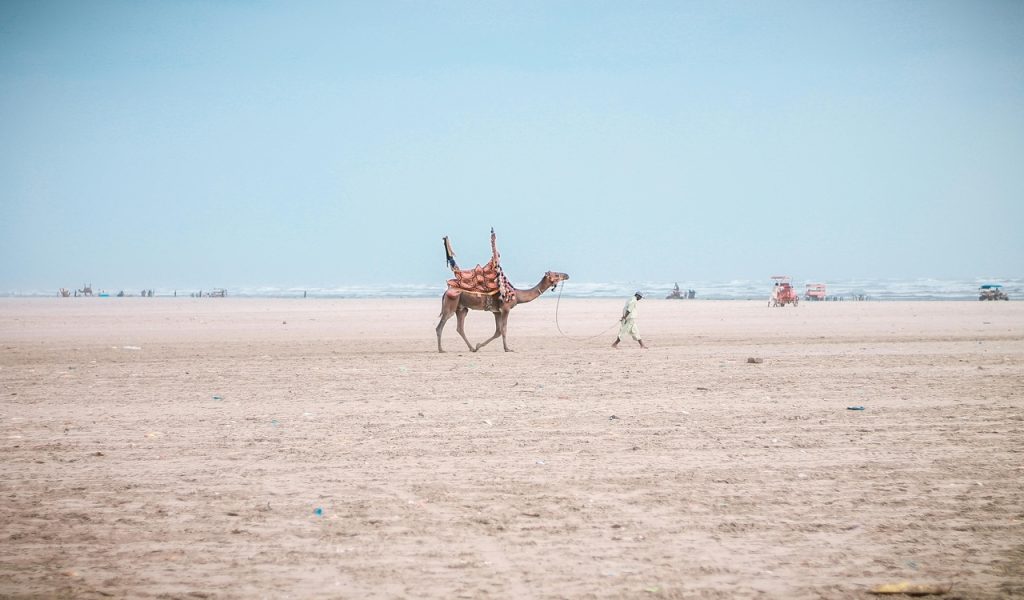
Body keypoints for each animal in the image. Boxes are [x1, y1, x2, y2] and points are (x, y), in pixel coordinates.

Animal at [436, 270, 569, 353]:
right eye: (556, 274)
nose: (567, 275)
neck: (518, 295)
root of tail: (446, 292)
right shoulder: (506, 308)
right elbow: (504, 329)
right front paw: (507, 349)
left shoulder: (497, 312)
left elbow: (498, 331)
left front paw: (478, 346)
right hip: (451, 305)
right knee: (440, 326)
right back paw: (441, 350)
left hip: (461, 308)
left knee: (460, 327)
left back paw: (472, 348)